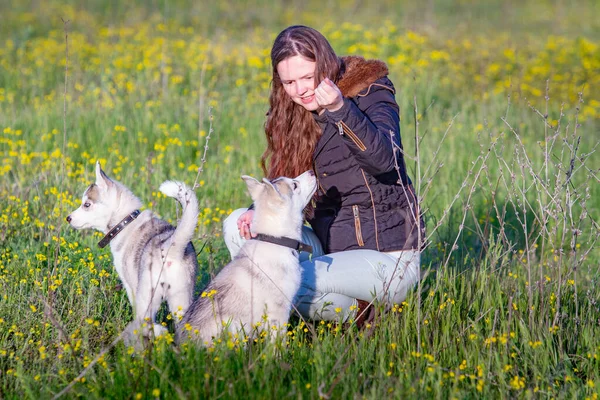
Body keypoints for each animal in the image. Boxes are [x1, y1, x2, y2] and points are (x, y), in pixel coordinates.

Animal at [66, 161, 198, 346]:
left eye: (87, 204)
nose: (68, 218)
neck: (125, 222)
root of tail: (171, 248)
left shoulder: (130, 286)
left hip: (148, 297)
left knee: (146, 322)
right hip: (182, 300)